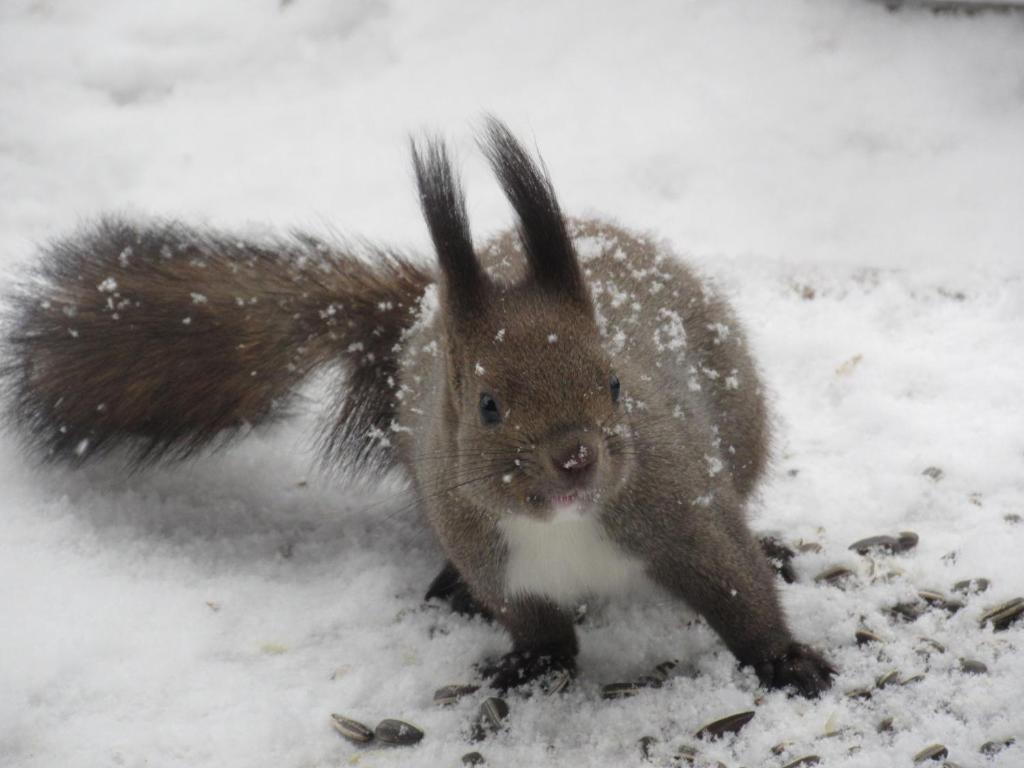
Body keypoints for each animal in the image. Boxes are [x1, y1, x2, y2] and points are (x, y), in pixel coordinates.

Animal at [2, 118, 831, 696]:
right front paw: (533, 666)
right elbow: (537, 626)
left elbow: (738, 589)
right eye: (488, 404)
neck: (562, 527)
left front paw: (787, 661)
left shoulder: (681, 512)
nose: (575, 458)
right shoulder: (492, 556)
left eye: (617, 384)